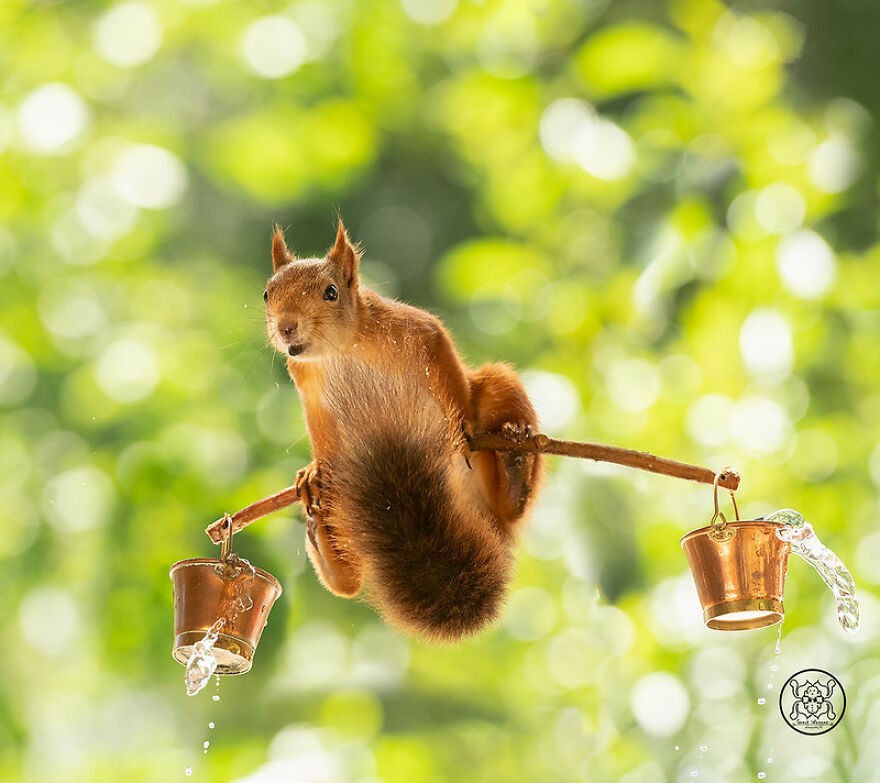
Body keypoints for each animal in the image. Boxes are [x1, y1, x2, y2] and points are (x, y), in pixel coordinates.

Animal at [264, 219, 544, 642]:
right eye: (267, 293)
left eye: (331, 293)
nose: (286, 327)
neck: (338, 351)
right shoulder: (308, 390)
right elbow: (319, 434)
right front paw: (313, 472)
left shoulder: (419, 331)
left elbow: (448, 371)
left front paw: (463, 428)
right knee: (350, 584)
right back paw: (322, 540)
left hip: (498, 389)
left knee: (512, 506)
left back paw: (515, 463)